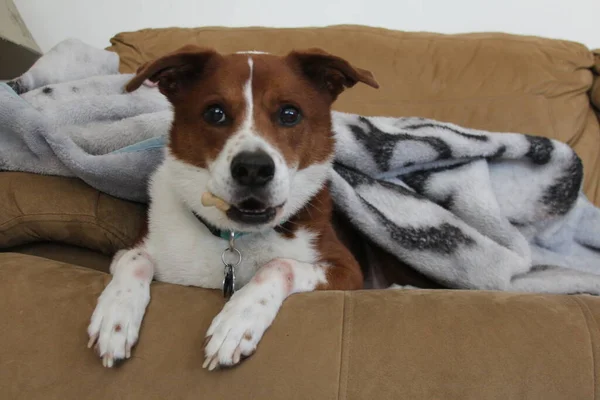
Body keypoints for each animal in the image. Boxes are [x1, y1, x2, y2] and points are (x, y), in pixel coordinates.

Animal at [86, 45, 378, 370]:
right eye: (215, 113)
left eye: (290, 113)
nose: (253, 169)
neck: (235, 235)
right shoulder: (137, 248)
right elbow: (134, 259)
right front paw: (115, 315)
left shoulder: (347, 270)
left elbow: (280, 264)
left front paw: (238, 320)